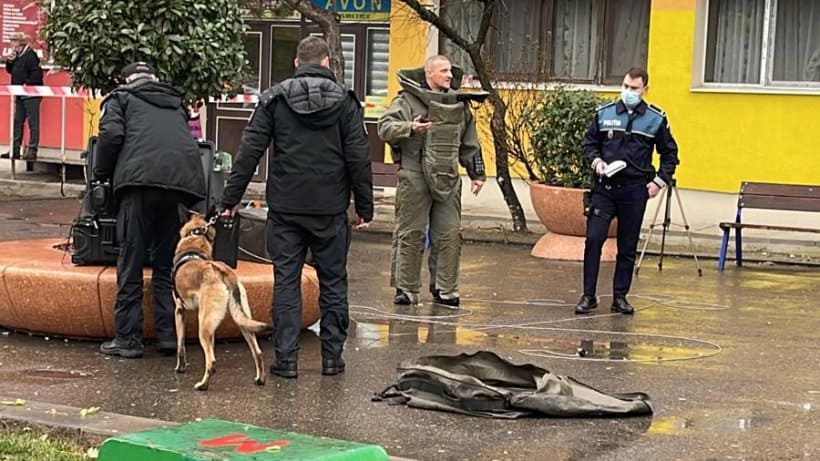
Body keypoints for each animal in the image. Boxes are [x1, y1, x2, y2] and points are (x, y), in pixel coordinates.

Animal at [171, 212, 270, 388]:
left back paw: (203, 385)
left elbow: (180, 346)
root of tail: (222, 270)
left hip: (203, 326)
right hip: (241, 321)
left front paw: (180, 368)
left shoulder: (179, 312)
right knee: (257, 352)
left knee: (211, 360)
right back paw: (260, 379)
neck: (194, 242)